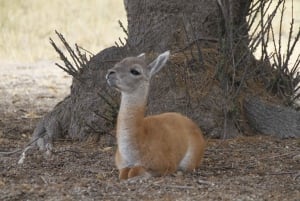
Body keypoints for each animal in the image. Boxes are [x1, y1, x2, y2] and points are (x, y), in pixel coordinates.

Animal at [105, 50, 206, 179]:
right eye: (118, 63)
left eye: (135, 71)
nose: (110, 73)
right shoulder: (121, 164)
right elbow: (123, 173)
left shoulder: (165, 164)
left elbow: (135, 171)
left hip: (191, 159)